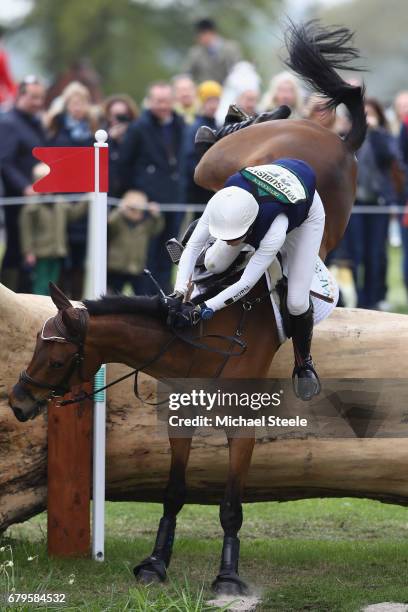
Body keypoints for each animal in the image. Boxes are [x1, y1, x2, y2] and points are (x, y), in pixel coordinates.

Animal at [8, 21, 366, 596]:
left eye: (57, 358)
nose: (18, 402)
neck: (198, 338)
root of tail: (334, 139)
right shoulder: (178, 413)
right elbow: (173, 492)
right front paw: (156, 562)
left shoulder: (241, 425)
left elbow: (231, 503)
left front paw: (228, 574)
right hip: (220, 168)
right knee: (214, 153)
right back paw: (244, 115)